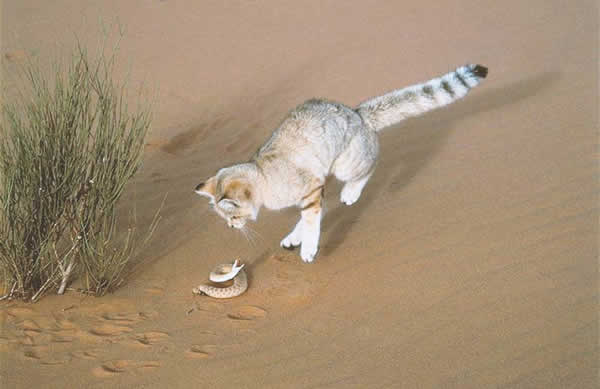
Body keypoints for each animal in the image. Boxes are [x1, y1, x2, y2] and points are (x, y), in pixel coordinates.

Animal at [196, 63, 488, 262]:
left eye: (233, 216)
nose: (231, 227)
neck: (264, 176)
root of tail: (359, 114)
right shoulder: (314, 192)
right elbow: (311, 216)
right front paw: (295, 238)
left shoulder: (311, 187)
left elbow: (311, 220)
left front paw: (308, 247)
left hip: (346, 164)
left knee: (373, 162)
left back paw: (351, 193)